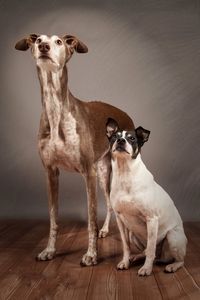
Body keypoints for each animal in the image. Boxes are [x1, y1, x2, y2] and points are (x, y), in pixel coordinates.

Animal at [107, 118, 187, 276]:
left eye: (132, 138)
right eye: (114, 137)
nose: (120, 140)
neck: (125, 173)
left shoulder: (152, 219)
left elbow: (150, 249)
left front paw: (146, 269)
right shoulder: (120, 220)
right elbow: (126, 246)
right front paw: (125, 262)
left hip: (172, 237)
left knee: (177, 259)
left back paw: (172, 266)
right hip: (133, 234)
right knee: (145, 251)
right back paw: (136, 257)